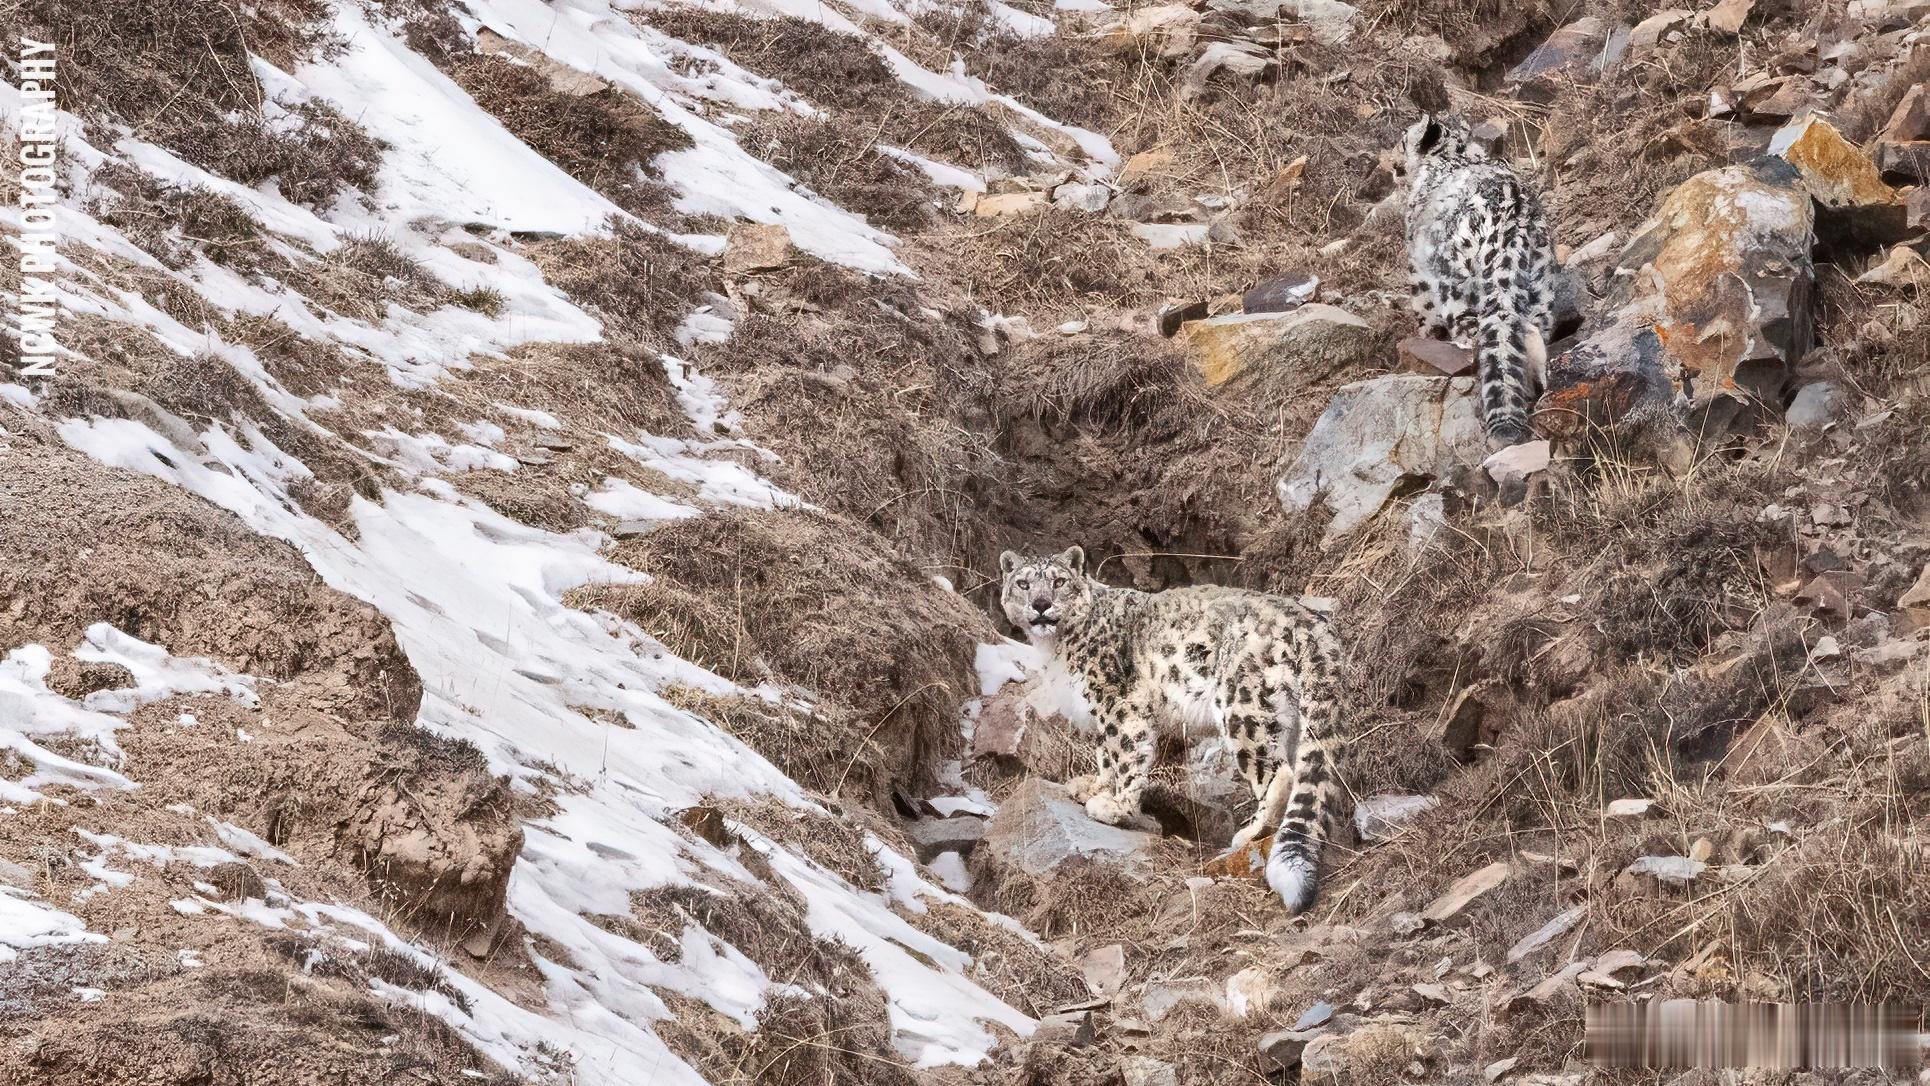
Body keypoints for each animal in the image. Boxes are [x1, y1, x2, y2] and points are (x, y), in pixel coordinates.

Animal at [1003, 547, 1351, 914]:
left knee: (1278, 772)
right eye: (1023, 583)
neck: (1056, 650)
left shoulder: (1118, 701)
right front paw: (1093, 786)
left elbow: (1125, 753)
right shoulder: (1098, 711)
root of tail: (1311, 623)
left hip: (1243, 704)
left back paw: (1249, 833)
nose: (1041, 604)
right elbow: (1105, 754)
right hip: (1292, 717)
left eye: (1058, 581)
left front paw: (1117, 807)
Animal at [1412, 113, 1559, 445]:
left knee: (1469, 324)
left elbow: (1422, 303)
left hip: (1454, 276)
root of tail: (1514, 220)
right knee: (1532, 328)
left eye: (1405, 136)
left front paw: (1424, 332)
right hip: (1541, 284)